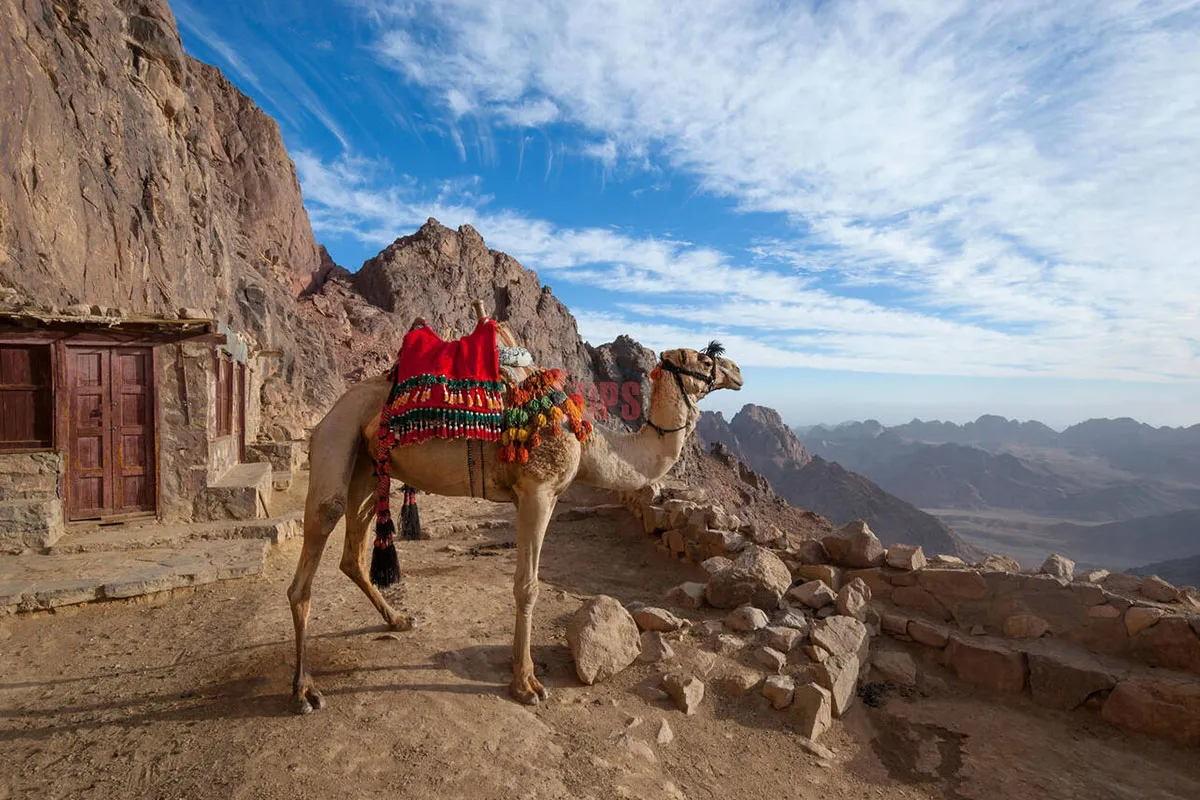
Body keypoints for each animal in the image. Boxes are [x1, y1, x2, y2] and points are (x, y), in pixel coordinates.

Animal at [286, 320, 743, 713]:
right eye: (704, 361)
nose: (737, 371)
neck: (588, 441)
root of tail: (330, 412)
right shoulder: (537, 491)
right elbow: (527, 586)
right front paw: (526, 683)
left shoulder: (537, 495)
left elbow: (526, 583)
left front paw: (518, 671)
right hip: (337, 437)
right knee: (314, 547)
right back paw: (304, 689)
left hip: (367, 466)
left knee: (353, 553)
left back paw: (399, 619)